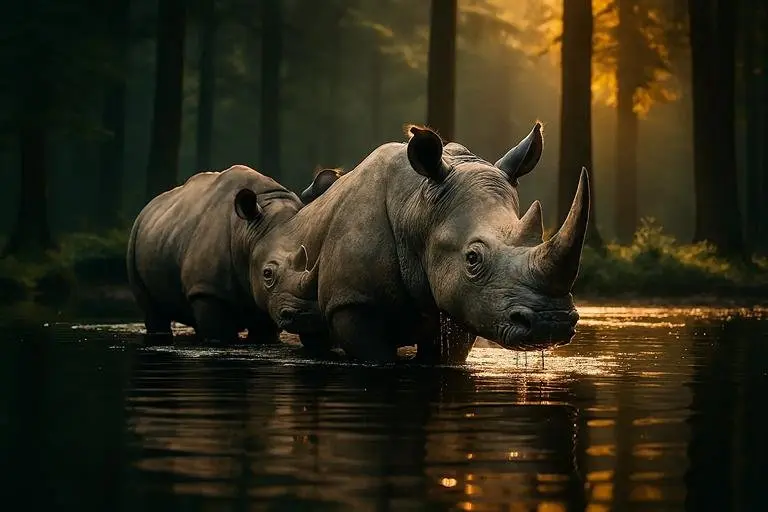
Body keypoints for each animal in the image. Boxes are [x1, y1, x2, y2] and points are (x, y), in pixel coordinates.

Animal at [126, 165, 338, 344]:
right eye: (267, 273)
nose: (307, 317)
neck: (248, 233)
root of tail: (149, 207)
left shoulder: (265, 298)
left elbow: (264, 333)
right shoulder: (207, 289)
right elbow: (219, 333)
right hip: (135, 234)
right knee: (153, 310)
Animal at [246, 122, 589, 363]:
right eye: (472, 258)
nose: (551, 323)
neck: (416, 205)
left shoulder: (464, 301)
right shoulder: (352, 302)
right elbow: (376, 353)